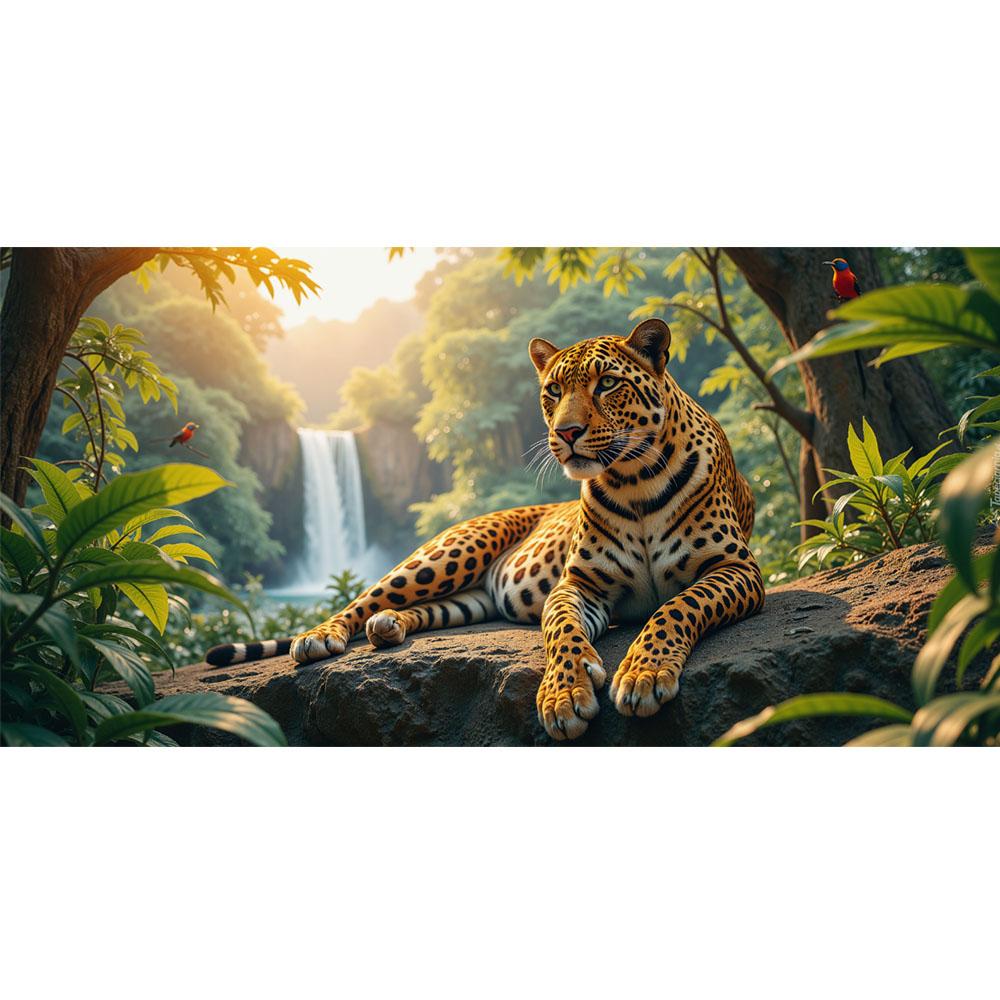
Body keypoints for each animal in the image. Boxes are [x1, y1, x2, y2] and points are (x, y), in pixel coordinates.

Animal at [205, 318, 764, 741]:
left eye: (607, 383)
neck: (633, 482)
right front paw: (564, 693)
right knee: (365, 599)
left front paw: (644, 672)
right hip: (449, 553)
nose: (566, 432)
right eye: (553, 391)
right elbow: (560, 629)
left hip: (474, 596)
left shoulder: (736, 568)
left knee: (430, 609)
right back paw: (321, 636)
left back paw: (388, 626)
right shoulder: (576, 585)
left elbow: (676, 607)